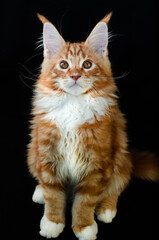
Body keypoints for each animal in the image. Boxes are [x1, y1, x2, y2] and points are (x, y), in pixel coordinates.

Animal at [27, 12, 159, 240]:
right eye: (64, 65)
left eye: (87, 64)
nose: (75, 75)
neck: (73, 104)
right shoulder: (47, 154)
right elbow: (53, 194)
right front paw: (53, 223)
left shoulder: (97, 163)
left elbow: (85, 201)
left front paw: (84, 227)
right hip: (33, 155)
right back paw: (39, 192)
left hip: (121, 158)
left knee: (118, 185)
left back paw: (107, 209)